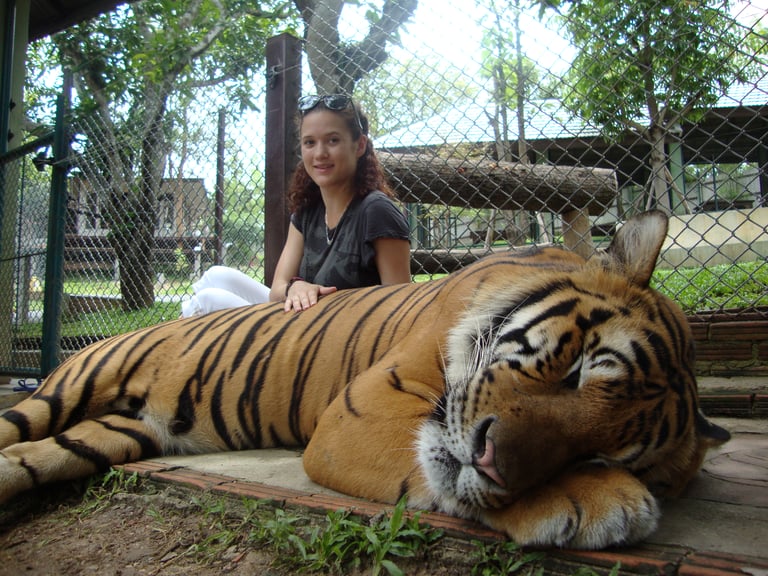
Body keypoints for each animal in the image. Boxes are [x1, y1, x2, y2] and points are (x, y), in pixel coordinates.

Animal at [0, 210, 729, 549]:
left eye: (601, 450)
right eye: (577, 371)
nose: (492, 463)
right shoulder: (360, 408)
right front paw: (597, 503)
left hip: (108, 436)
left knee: (24, 459)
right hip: (63, 393)